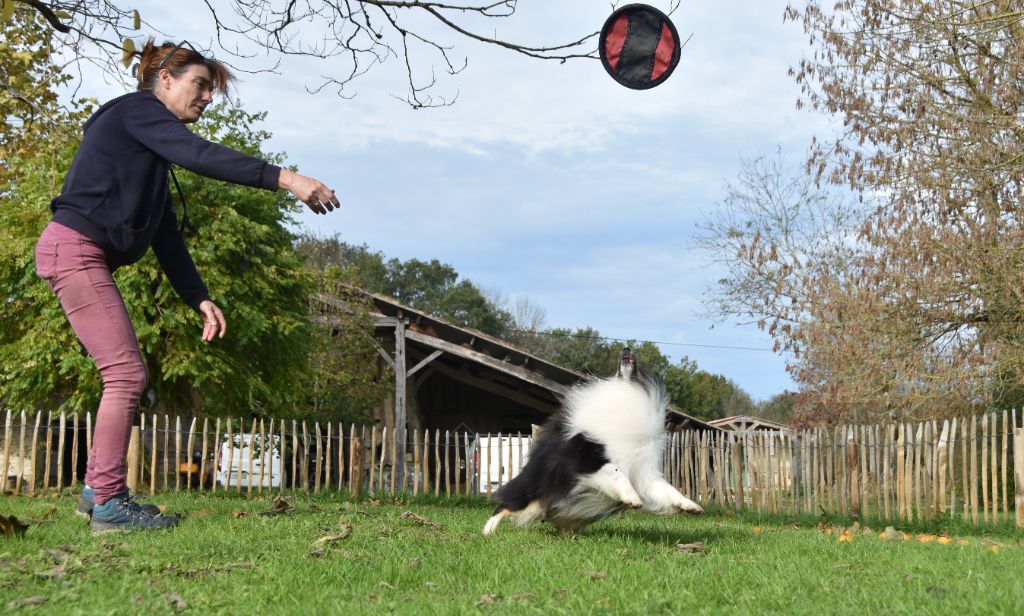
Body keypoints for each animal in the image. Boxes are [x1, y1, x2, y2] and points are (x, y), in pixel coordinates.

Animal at [481, 345, 704, 532]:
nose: (626, 348)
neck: (627, 390)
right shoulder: (586, 458)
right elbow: (616, 471)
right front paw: (632, 498)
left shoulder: (645, 472)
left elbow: (667, 489)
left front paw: (690, 505)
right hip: (534, 487)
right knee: (505, 505)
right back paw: (488, 532)